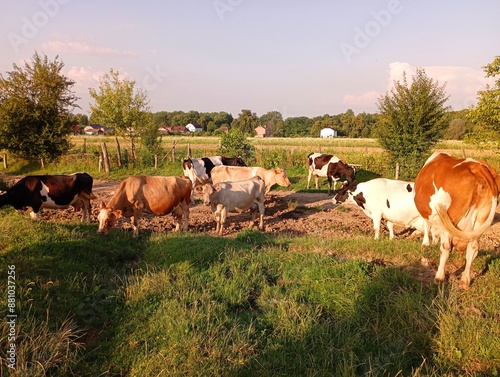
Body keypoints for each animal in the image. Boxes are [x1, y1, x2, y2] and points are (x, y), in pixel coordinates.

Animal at [412, 151, 498, 286]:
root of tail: (478, 167)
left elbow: (427, 227)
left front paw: (426, 244)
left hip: (450, 220)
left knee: (445, 248)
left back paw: (439, 277)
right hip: (481, 219)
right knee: (473, 248)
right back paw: (465, 280)